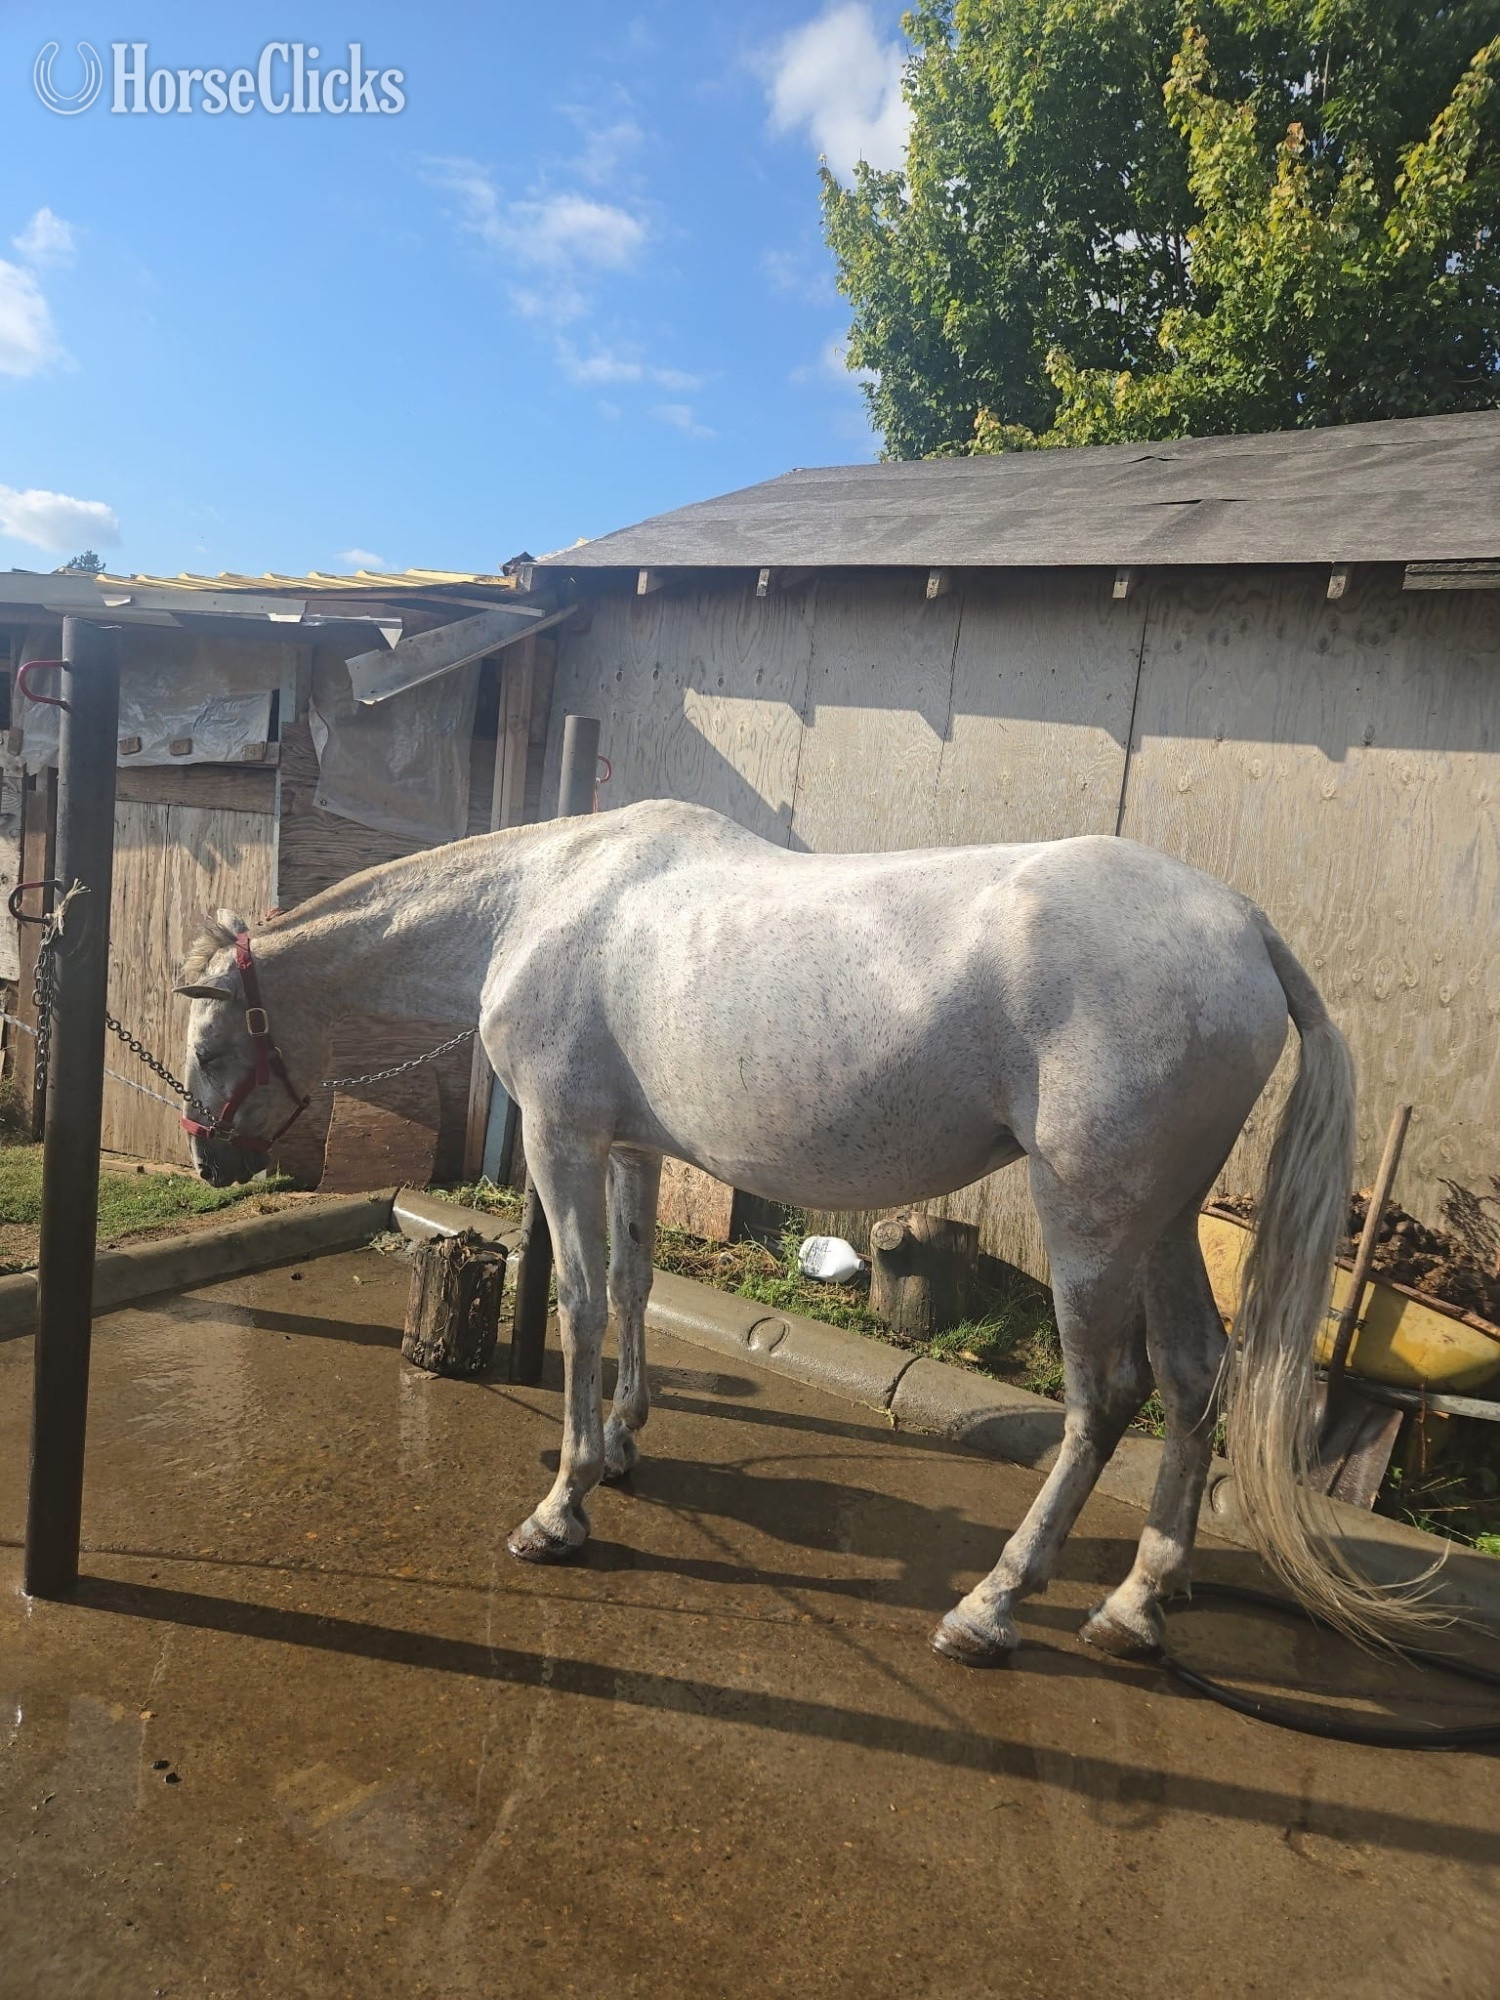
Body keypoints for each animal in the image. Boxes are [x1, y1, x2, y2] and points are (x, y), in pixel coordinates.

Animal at [174, 797, 1418, 1662]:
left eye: (211, 1044)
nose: (207, 1160)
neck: (538, 900)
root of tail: (1245, 929)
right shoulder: (632, 1148)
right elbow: (634, 1285)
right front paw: (621, 1443)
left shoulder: (563, 1137)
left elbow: (581, 1297)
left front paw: (562, 1505)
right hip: (1162, 1222)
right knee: (1199, 1376)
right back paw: (1136, 1604)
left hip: (1092, 1220)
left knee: (1106, 1395)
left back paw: (991, 1607)